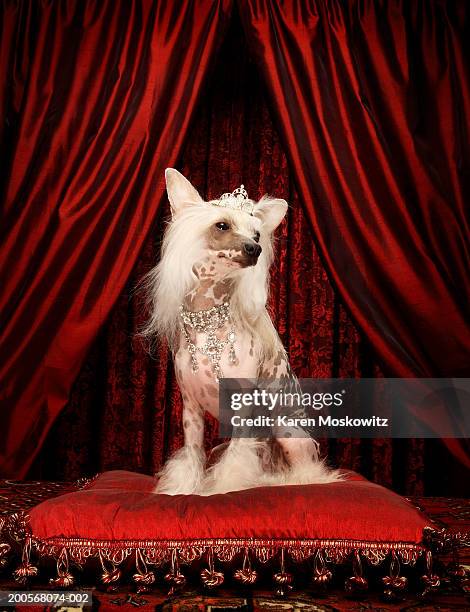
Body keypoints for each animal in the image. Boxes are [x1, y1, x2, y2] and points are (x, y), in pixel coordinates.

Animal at [140, 170, 342, 494]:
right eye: (222, 225)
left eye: (257, 235)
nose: (255, 248)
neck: (208, 323)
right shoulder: (191, 410)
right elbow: (192, 455)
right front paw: (183, 488)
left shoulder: (243, 408)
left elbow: (236, 457)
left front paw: (224, 488)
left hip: (287, 431)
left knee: (308, 472)